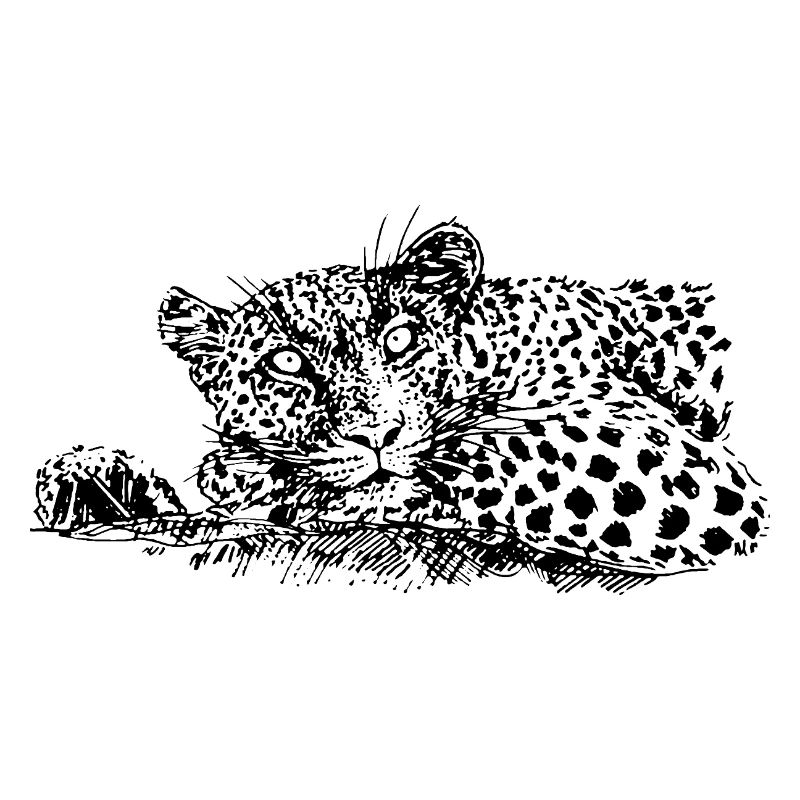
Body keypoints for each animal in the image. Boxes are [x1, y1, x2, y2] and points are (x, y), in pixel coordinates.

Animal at [36, 218, 769, 584]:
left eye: (399, 339)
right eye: (285, 364)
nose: (375, 435)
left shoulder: (685, 465)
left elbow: (500, 454)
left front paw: (254, 480)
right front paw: (91, 478)